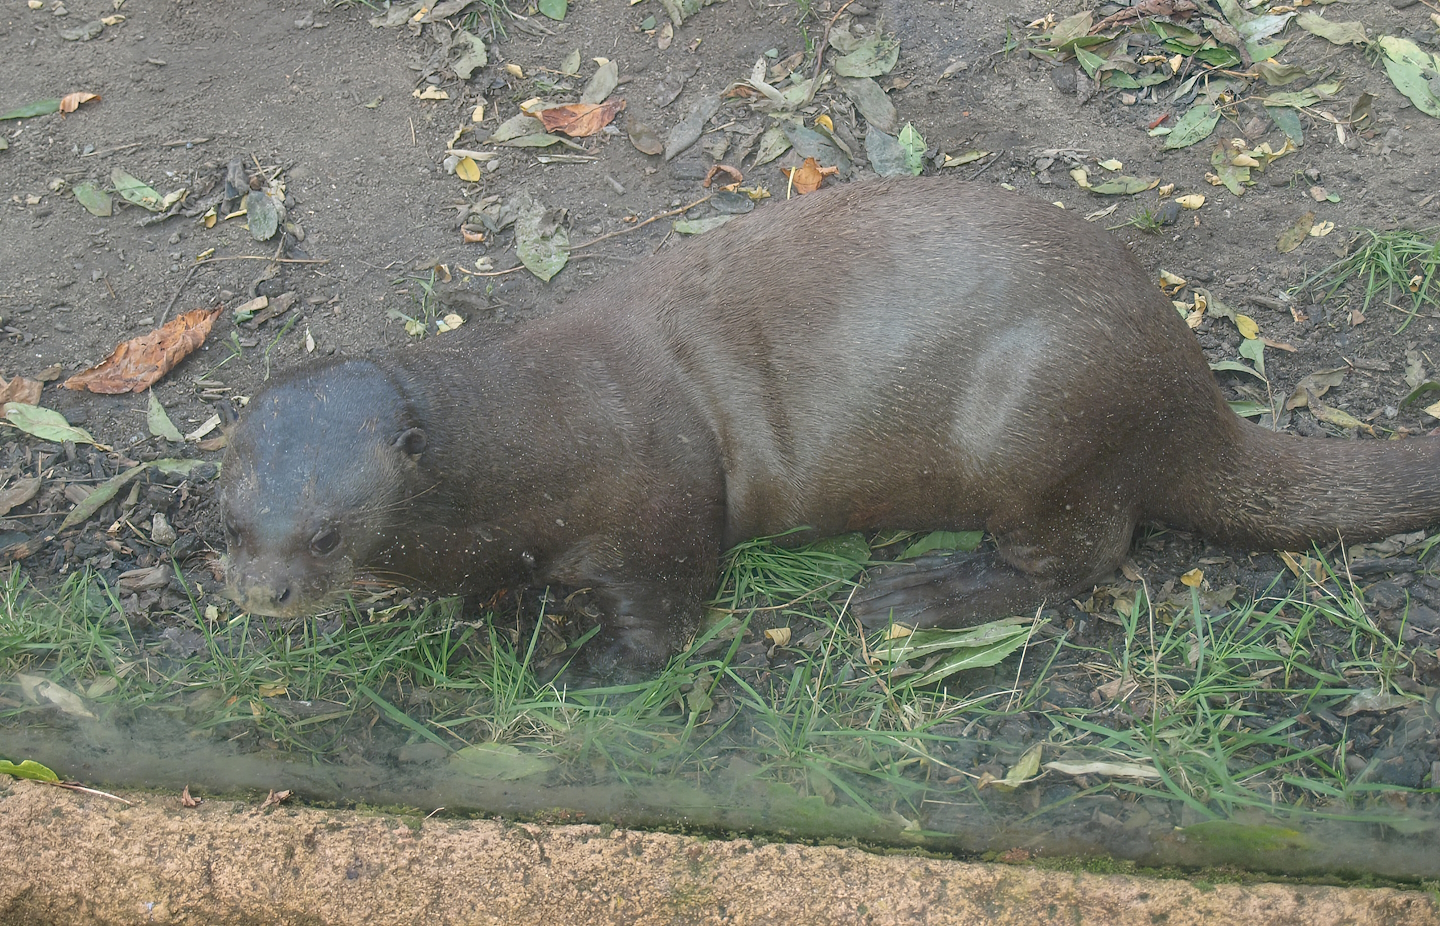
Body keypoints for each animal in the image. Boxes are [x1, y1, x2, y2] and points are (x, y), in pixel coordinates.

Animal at [219, 178, 1440, 675]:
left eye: (327, 531)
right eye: (232, 523)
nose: (262, 593)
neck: (536, 437)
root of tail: (1185, 382)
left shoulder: (661, 500)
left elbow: (668, 604)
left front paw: (590, 661)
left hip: (1043, 419)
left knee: (1084, 556)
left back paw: (918, 593)